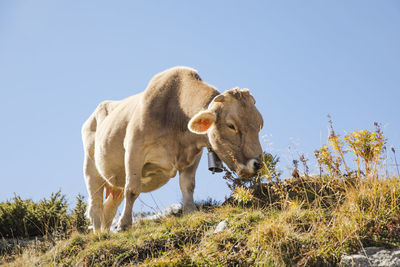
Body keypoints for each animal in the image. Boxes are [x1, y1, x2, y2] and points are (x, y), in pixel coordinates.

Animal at [81, 67, 264, 232]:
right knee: (96, 206)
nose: (257, 164)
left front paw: (190, 212)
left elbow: (188, 185)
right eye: (231, 125)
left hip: (115, 181)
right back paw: (98, 234)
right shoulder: (134, 149)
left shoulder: (193, 156)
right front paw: (124, 224)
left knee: (109, 208)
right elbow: (132, 190)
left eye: (259, 125)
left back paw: (105, 232)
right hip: (91, 169)